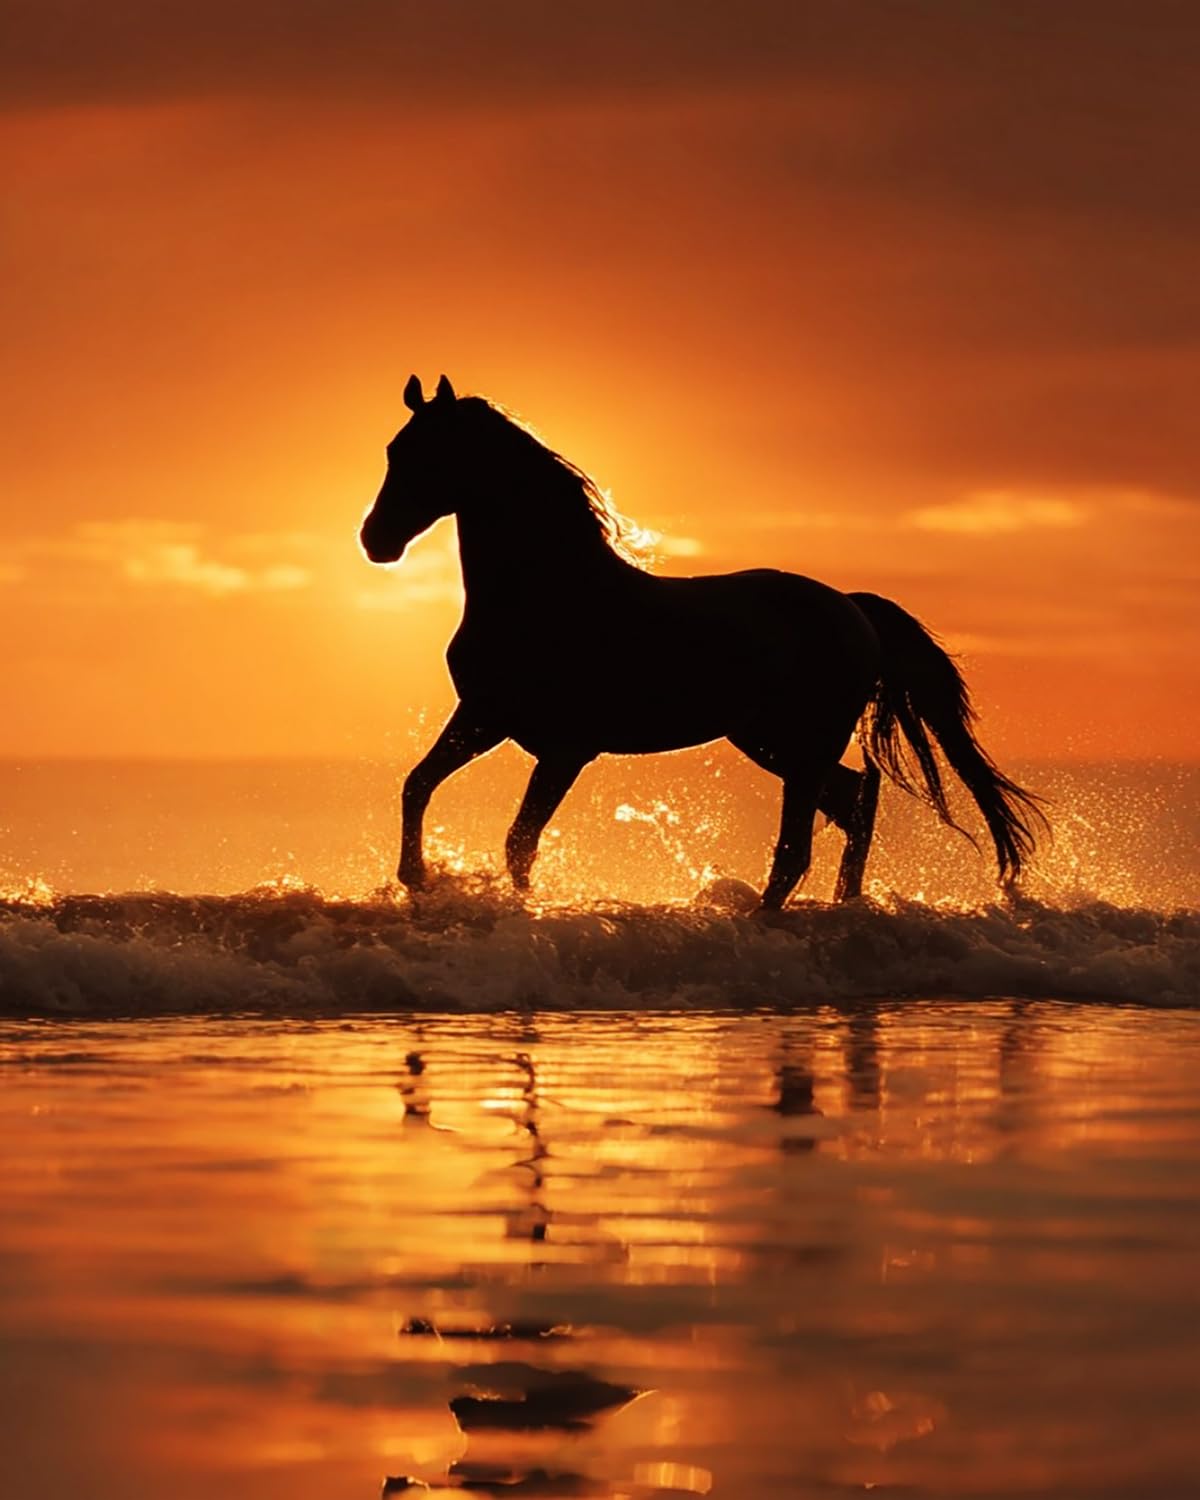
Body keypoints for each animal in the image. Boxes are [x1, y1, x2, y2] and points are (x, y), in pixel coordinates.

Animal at [360, 374, 1045, 909]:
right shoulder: (484, 717)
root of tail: (853, 609)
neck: (550, 592)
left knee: (801, 842)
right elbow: (418, 784)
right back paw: (842, 906)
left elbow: (519, 841)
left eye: (429, 454)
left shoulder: (565, 749)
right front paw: (417, 878)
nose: (375, 541)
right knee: (855, 800)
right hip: (773, 743)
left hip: (796, 745)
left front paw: (514, 904)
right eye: (393, 449)